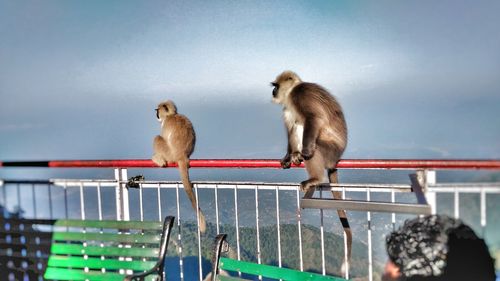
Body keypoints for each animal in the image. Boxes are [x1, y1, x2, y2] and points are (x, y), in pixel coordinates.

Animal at [152, 100, 207, 232]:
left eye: (158, 110)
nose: (156, 115)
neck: (172, 115)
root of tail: (182, 155)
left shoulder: (166, 124)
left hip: (169, 153)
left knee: (157, 138)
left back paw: (158, 159)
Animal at [272, 70, 354, 274]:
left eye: (276, 86)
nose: (273, 92)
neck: (292, 91)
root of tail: (337, 157)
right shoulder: (287, 106)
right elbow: (291, 126)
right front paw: (288, 155)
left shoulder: (299, 95)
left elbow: (313, 118)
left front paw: (305, 152)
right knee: (296, 123)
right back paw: (295, 155)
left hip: (329, 150)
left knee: (306, 128)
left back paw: (315, 177)